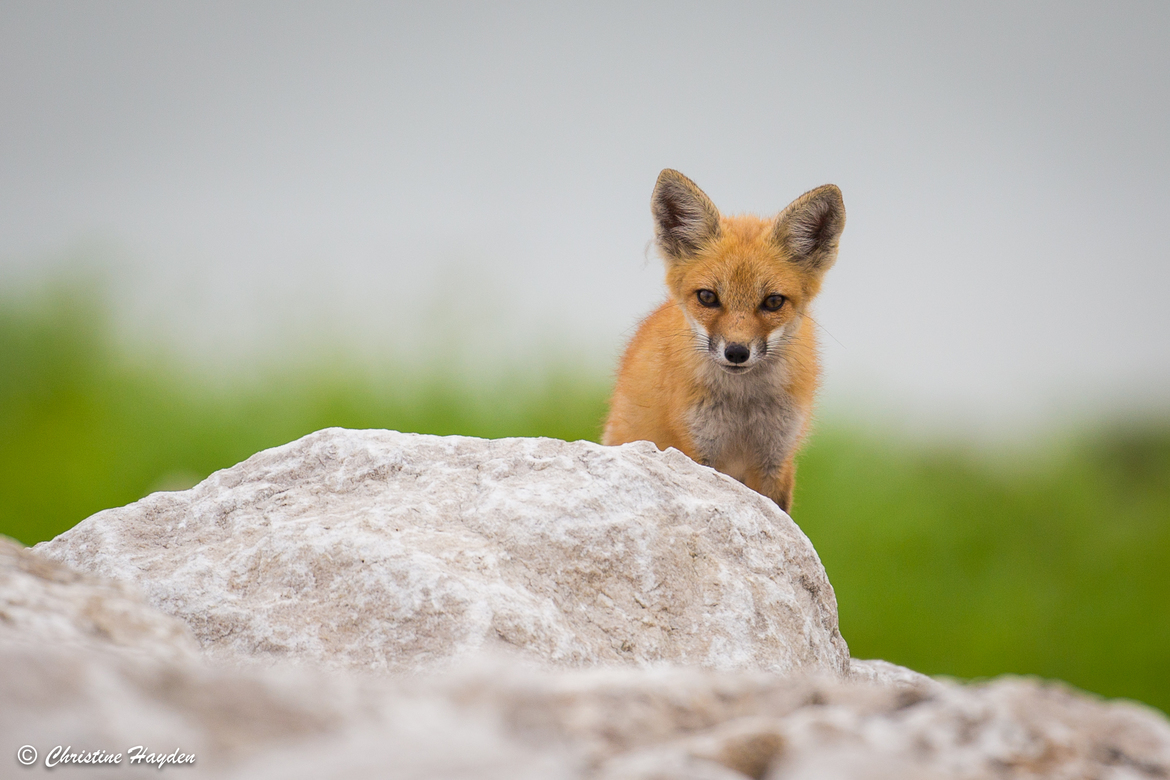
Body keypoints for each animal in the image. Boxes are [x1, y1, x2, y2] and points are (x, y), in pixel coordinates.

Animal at [603, 169, 845, 513]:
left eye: (773, 302)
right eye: (708, 297)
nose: (736, 352)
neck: (743, 406)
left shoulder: (776, 458)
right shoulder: (697, 451)